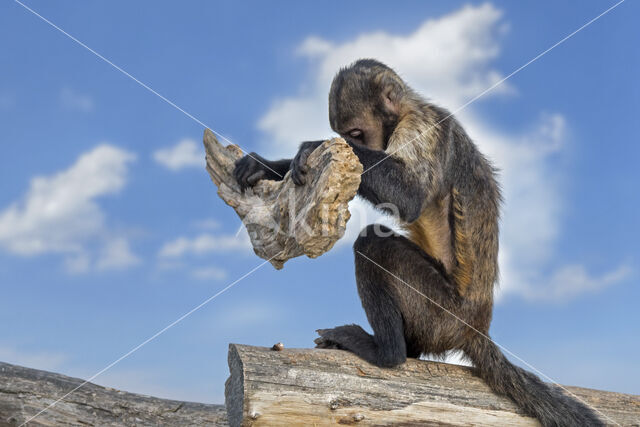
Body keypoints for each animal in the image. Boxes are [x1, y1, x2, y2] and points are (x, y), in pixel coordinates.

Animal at [234, 58, 600, 426]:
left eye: (355, 135)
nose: (343, 144)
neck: (407, 110)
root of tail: (476, 327)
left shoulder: (422, 126)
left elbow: (408, 197)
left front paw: (311, 147)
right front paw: (267, 165)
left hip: (440, 315)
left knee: (373, 244)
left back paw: (388, 353)